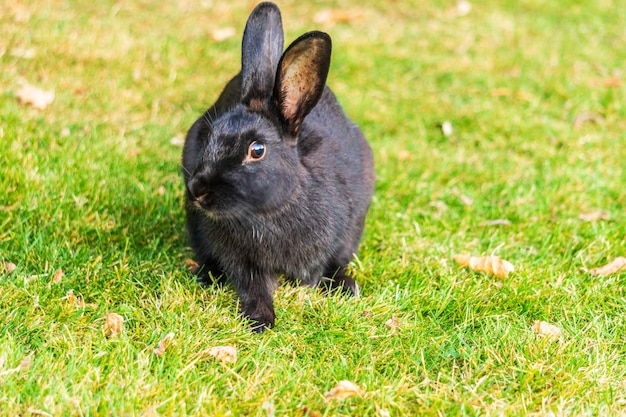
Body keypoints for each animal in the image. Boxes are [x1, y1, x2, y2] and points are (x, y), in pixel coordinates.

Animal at [183, 0, 372, 332]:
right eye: (210, 134)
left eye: (257, 150)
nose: (198, 190)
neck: (266, 214)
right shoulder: (242, 260)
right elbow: (253, 286)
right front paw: (260, 320)